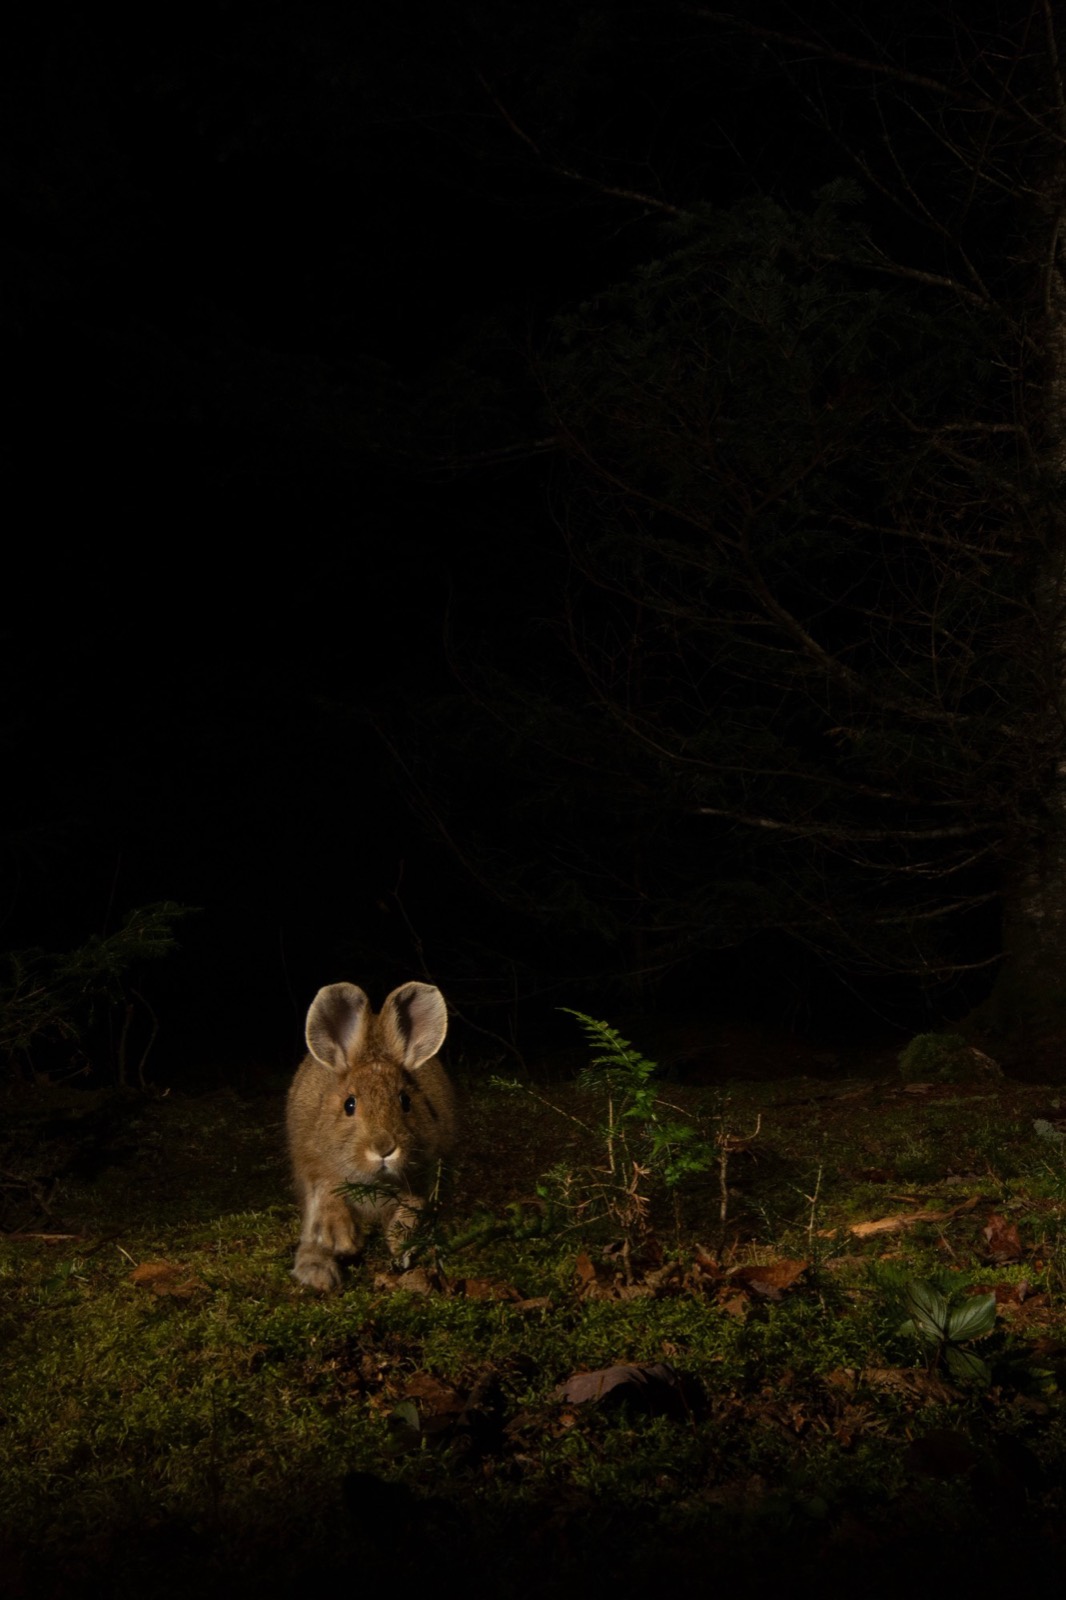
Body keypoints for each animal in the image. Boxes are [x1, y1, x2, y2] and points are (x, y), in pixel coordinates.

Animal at [286, 980, 456, 1291]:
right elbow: (327, 1195)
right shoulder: (314, 1166)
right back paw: (317, 1272)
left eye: (405, 1101)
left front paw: (403, 1246)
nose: (384, 1148)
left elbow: (412, 1206)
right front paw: (342, 1240)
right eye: (349, 1105)